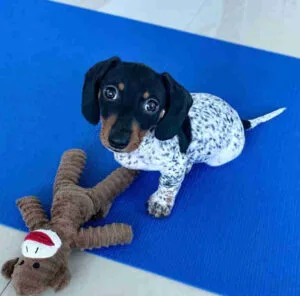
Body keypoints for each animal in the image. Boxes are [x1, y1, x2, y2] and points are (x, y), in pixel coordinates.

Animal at [81, 56, 284, 217]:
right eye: (109, 92)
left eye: (152, 105)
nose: (118, 141)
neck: (145, 141)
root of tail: (241, 121)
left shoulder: (174, 165)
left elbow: (168, 184)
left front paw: (160, 202)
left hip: (218, 159)